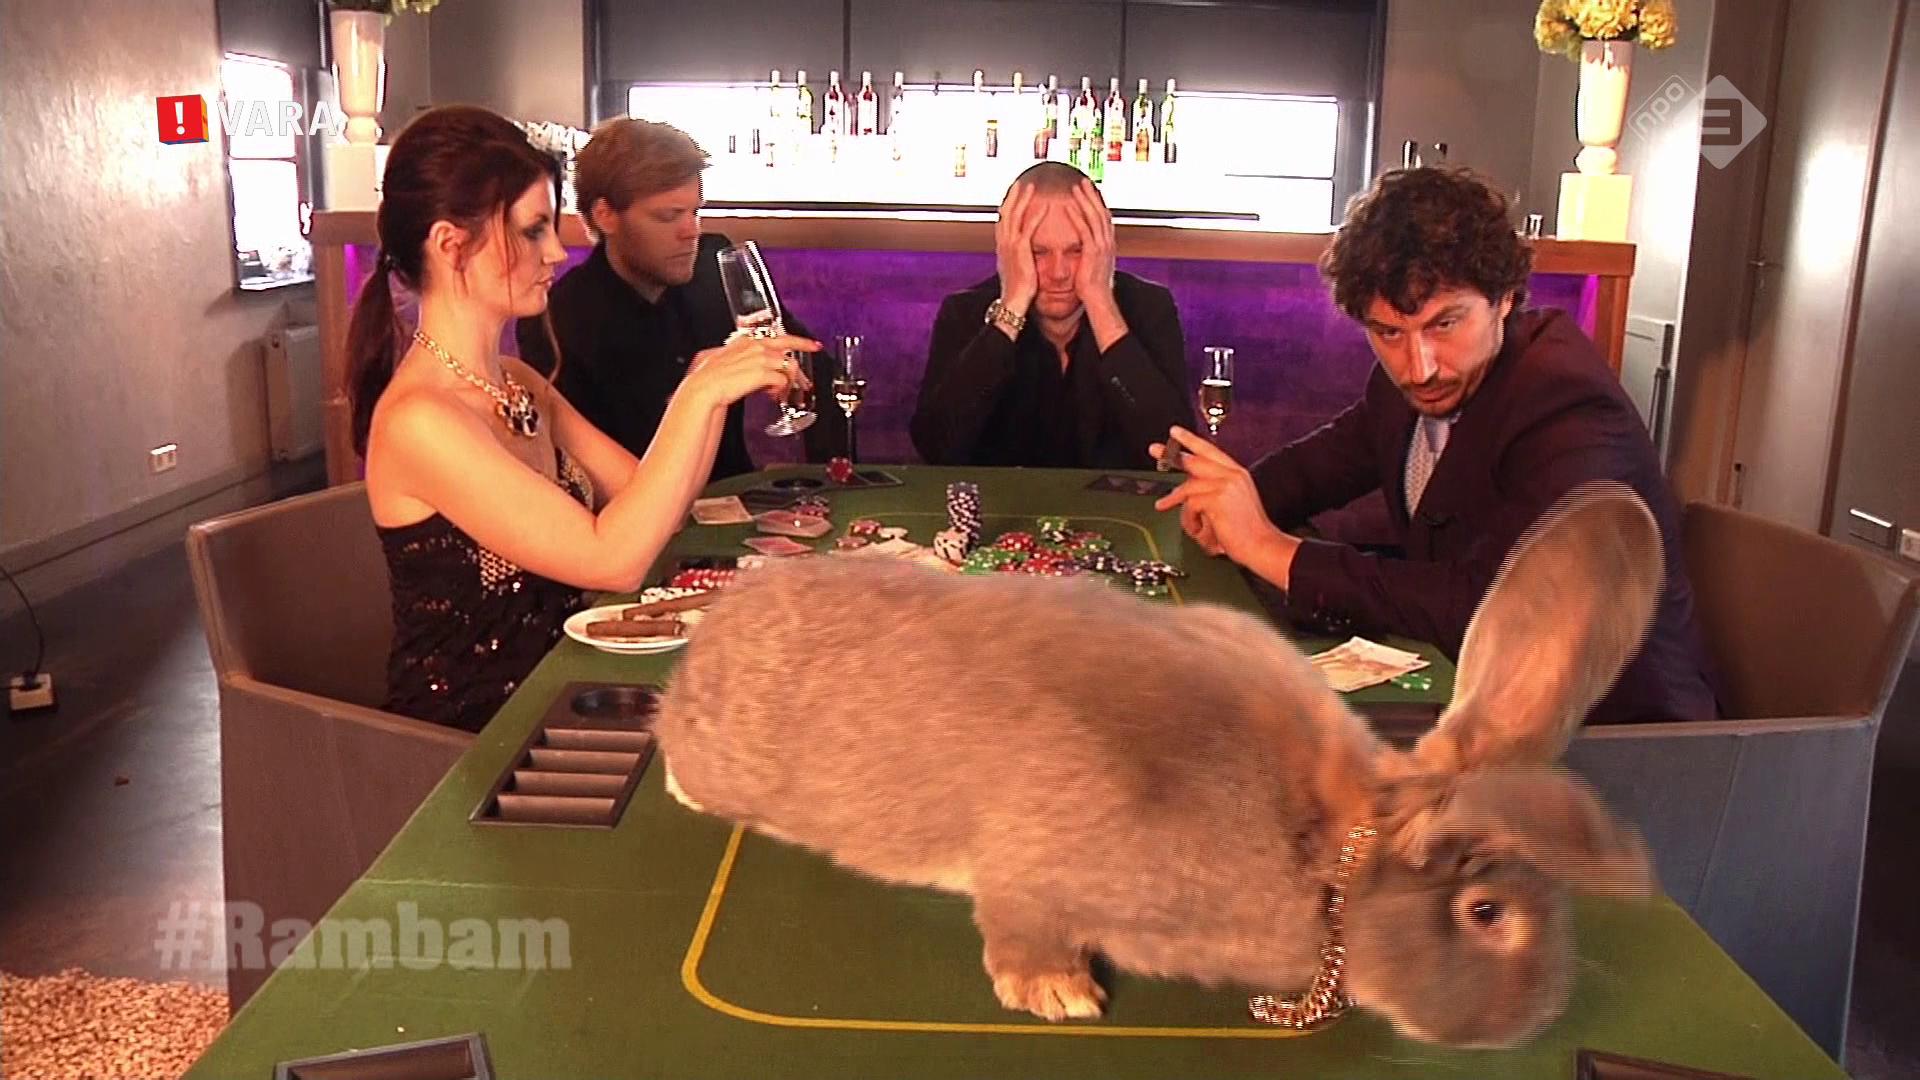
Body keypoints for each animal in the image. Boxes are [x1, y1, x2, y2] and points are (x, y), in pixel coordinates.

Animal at [653, 480, 1664, 1049]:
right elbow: (1021, 922)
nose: (1533, 1020)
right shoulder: (1042, 862)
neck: (1328, 848)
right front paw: (1057, 995)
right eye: (1486, 914)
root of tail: (716, 633)